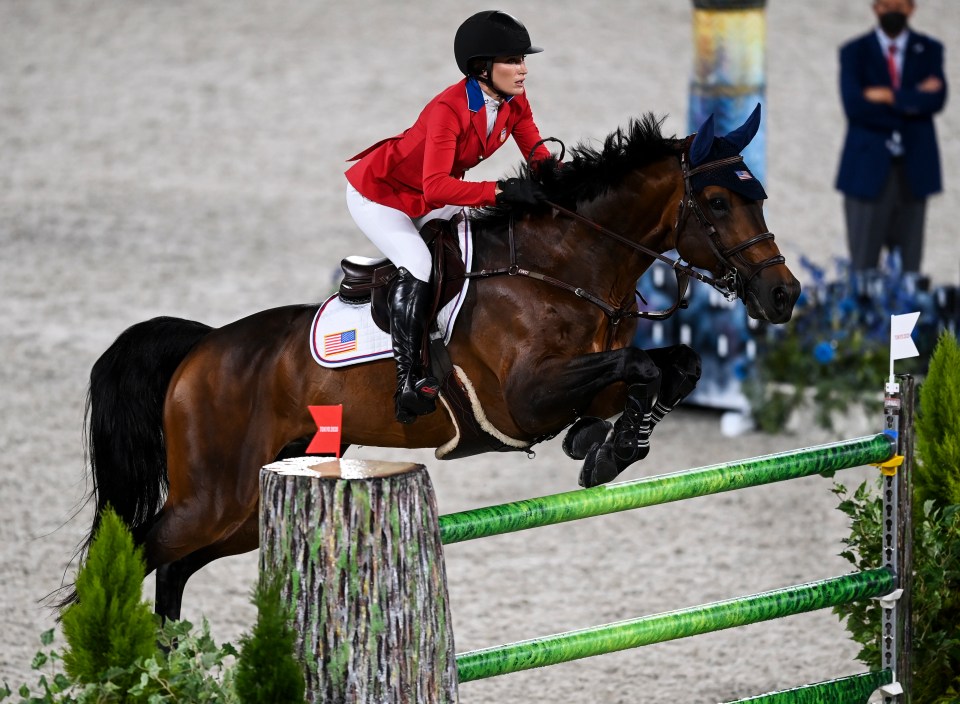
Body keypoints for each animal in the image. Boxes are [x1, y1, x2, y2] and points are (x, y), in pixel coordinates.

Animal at [71, 107, 800, 620]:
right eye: (717, 203)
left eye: (761, 196)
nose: (783, 295)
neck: (568, 268)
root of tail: (201, 348)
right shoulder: (525, 399)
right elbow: (644, 368)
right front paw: (608, 451)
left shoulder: (585, 381)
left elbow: (674, 366)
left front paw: (606, 443)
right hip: (213, 495)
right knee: (131, 552)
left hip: (253, 503)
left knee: (174, 568)